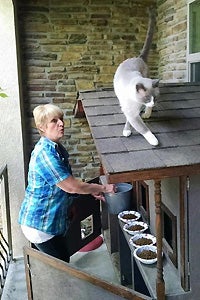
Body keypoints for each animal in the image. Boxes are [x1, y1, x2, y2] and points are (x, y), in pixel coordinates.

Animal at [114, 8, 159, 146]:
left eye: (155, 98)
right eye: (147, 98)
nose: (153, 104)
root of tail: (138, 57)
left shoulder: (135, 111)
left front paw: (147, 113)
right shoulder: (131, 112)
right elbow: (142, 128)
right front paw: (154, 141)